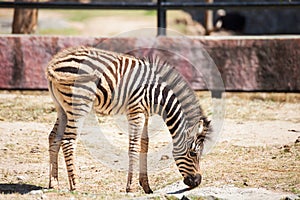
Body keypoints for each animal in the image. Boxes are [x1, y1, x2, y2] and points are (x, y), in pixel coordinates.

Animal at [46, 45, 211, 194]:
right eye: (193, 153)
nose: (197, 182)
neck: (156, 94)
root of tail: (54, 63)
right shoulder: (136, 112)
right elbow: (134, 148)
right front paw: (130, 188)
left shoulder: (145, 114)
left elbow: (145, 145)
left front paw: (146, 186)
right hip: (79, 106)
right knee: (68, 141)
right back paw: (75, 187)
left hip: (62, 108)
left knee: (53, 137)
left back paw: (53, 184)